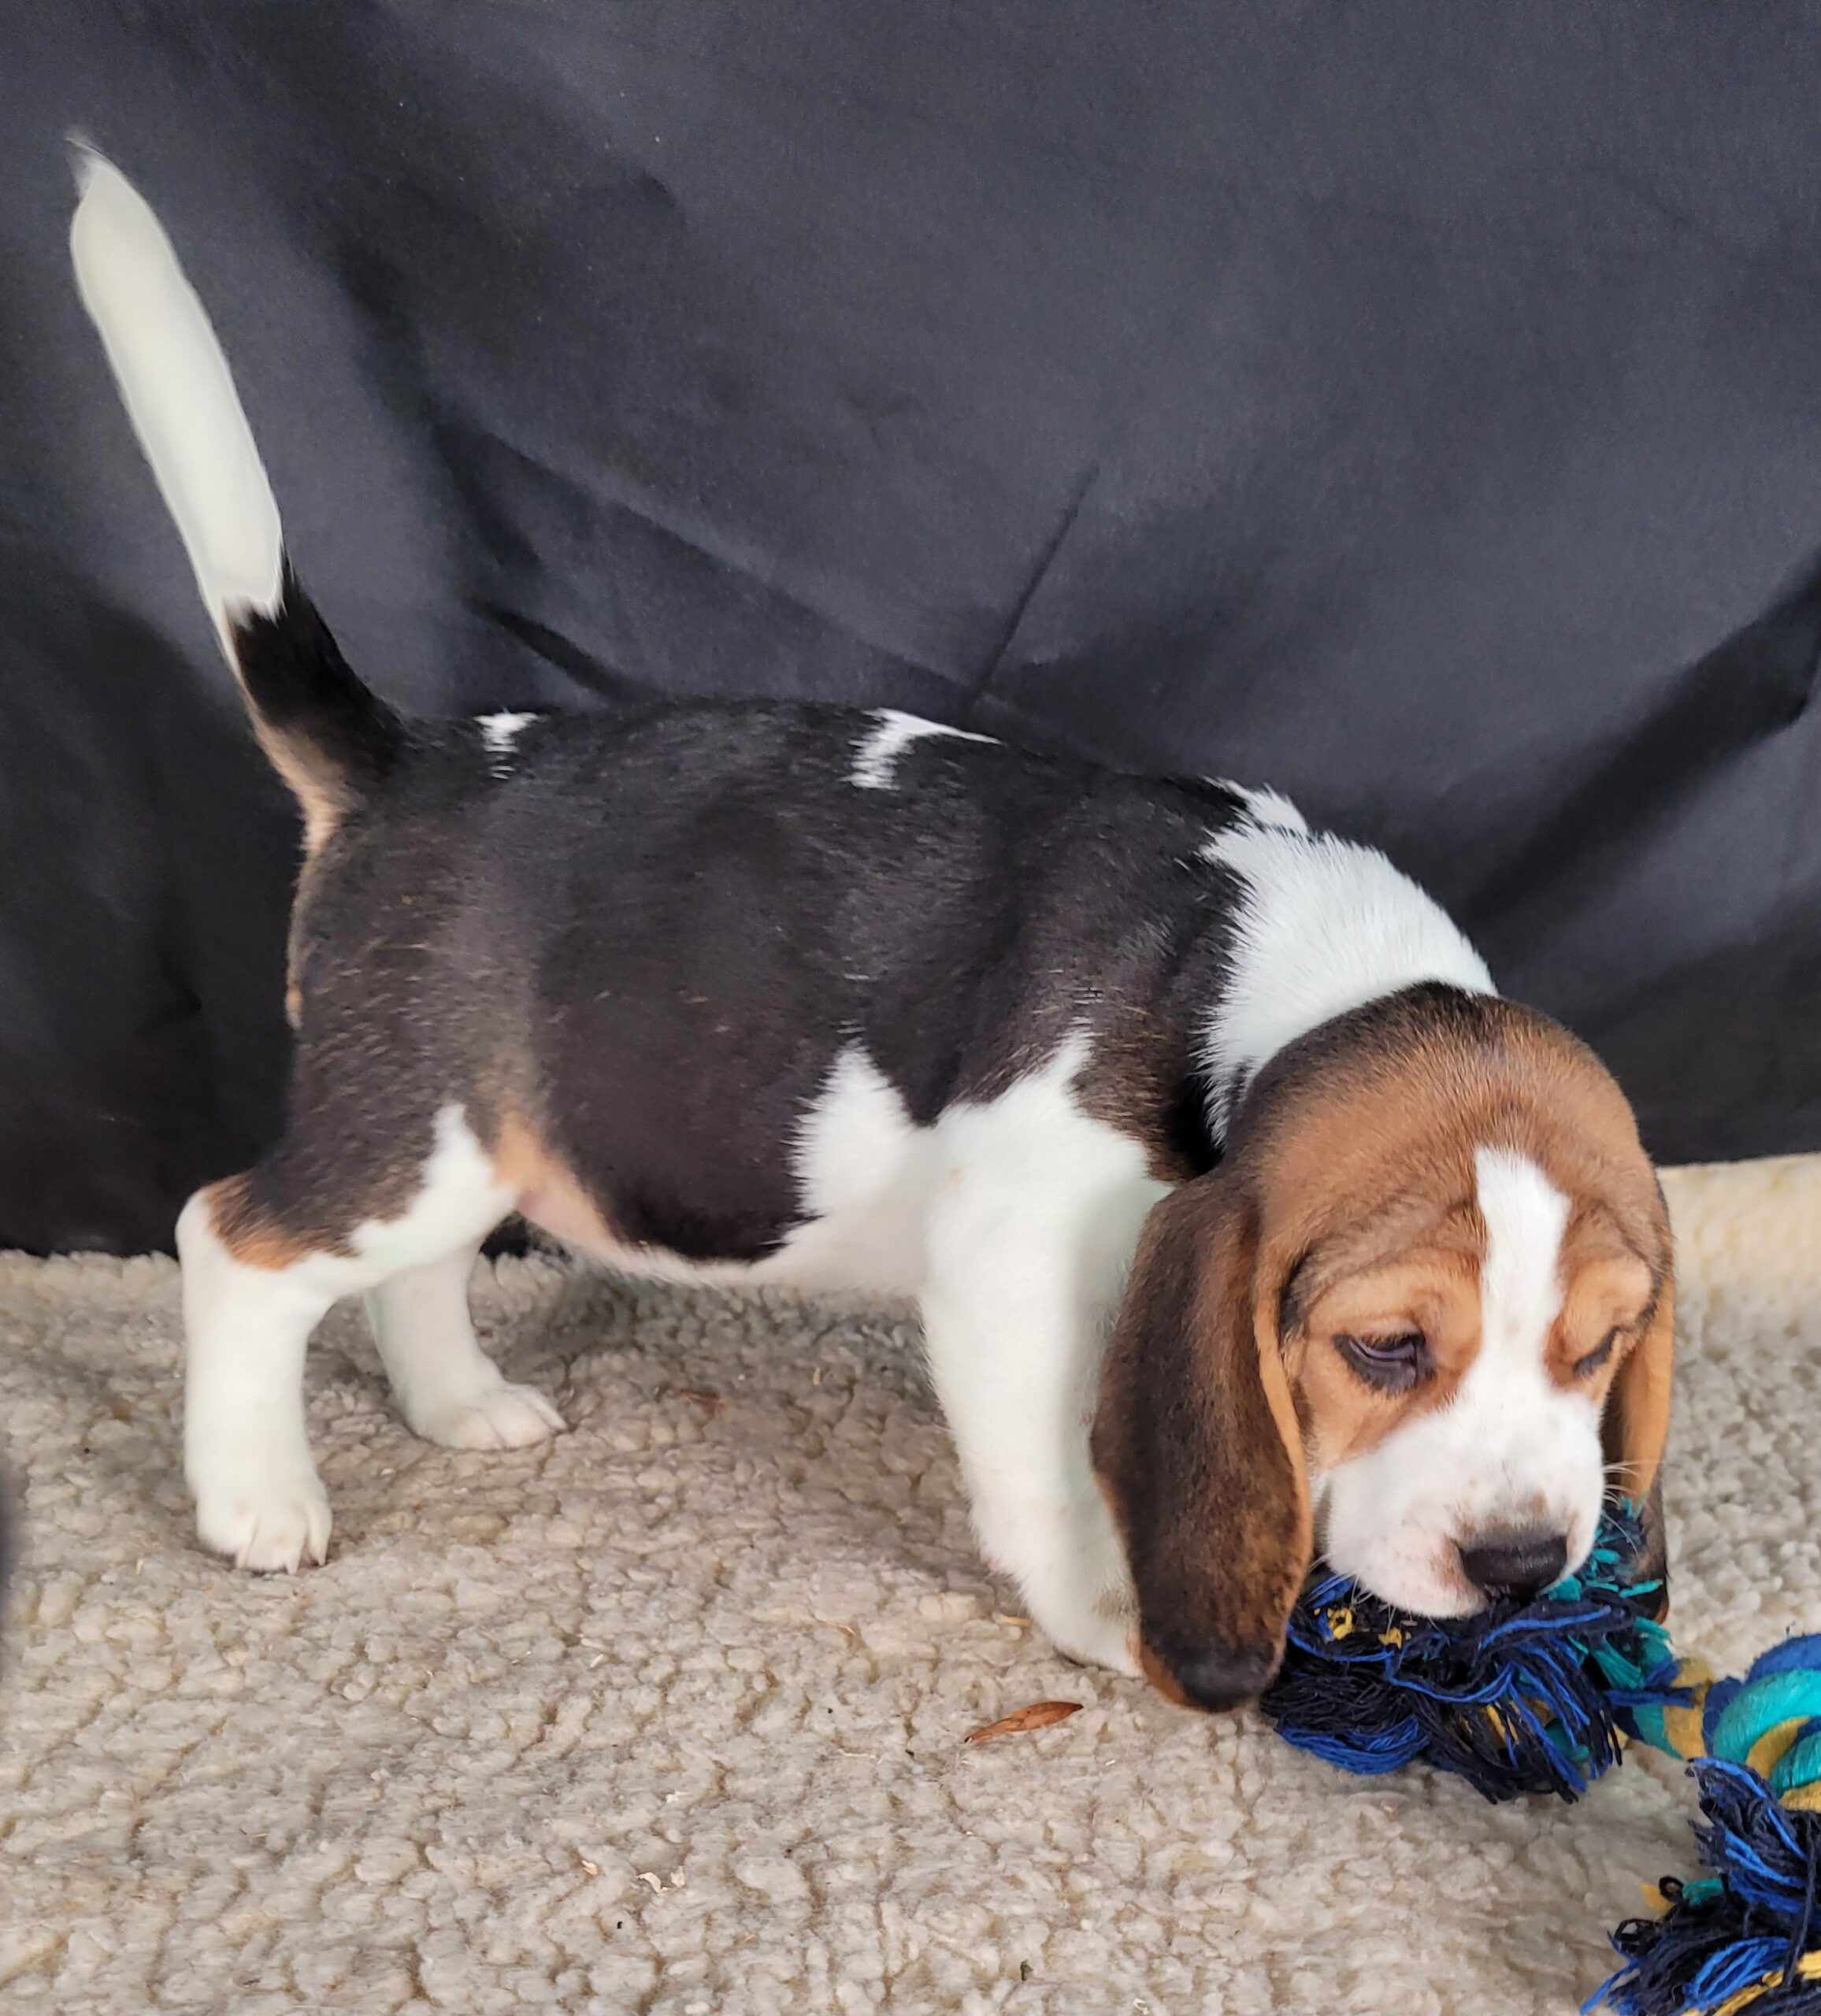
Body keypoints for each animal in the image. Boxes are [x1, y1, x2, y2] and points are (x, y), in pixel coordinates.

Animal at [70, 153, 1673, 1711]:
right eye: (1383, 1348)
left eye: (1600, 1346)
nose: (1523, 1566)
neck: (1252, 972)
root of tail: (407, 761)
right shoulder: (1011, 1261)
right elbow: (1046, 1471)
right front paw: (1108, 1615)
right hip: (408, 1133)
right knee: (234, 1243)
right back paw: (256, 1497)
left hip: (470, 1149)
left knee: (410, 1267)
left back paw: (458, 1404)